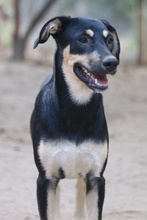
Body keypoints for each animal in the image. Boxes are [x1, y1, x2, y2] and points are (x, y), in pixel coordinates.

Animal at [30, 15, 120, 220]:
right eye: (83, 39)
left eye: (109, 40)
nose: (112, 62)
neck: (75, 109)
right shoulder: (45, 179)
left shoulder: (96, 178)